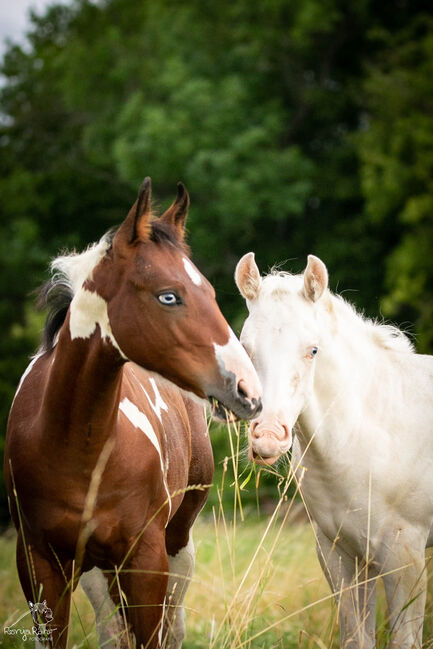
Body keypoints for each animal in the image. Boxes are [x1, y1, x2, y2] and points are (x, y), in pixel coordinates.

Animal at [4, 180, 260, 648]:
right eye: (169, 296)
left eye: (211, 292)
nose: (248, 390)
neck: (73, 449)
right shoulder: (39, 565)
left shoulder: (146, 559)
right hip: (97, 569)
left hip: (177, 545)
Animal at [235, 253, 432, 648]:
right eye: (246, 348)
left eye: (313, 350)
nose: (267, 436)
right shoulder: (340, 554)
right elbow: (357, 637)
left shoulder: (406, 559)